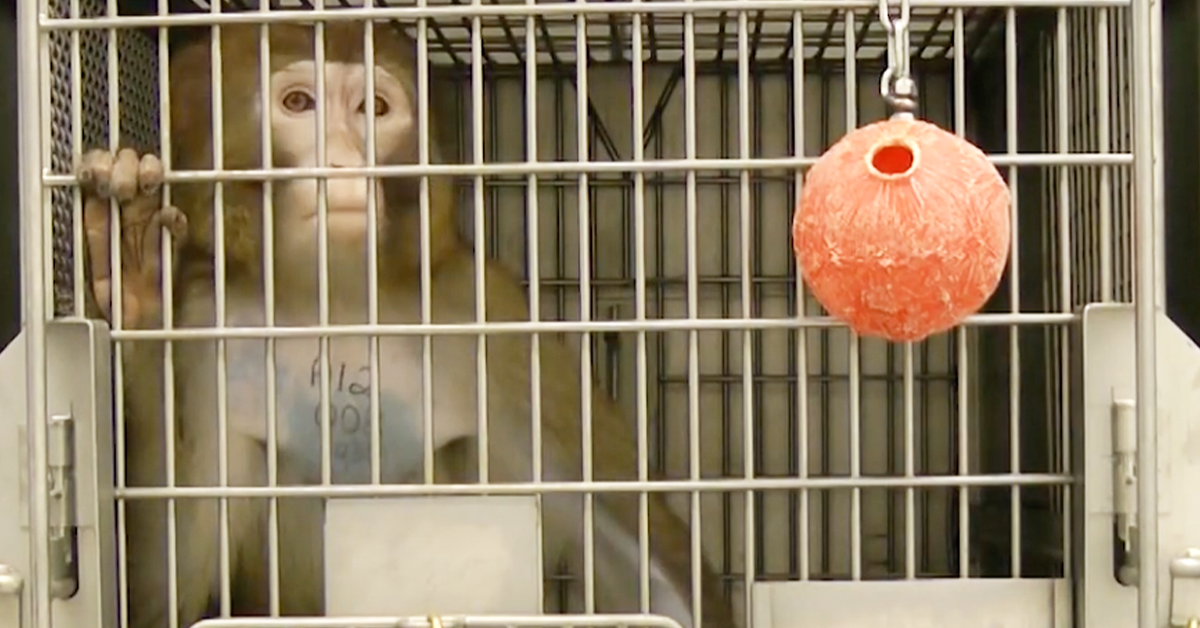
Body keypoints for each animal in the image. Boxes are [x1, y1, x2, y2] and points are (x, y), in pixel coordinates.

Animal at [74, 20, 735, 628]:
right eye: (298, 104)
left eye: (374, 109)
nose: (343, 162)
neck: (337, 299)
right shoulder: (201, 330)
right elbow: (166, 593)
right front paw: (131, 272)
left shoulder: (489, 318)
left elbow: (632, 545)